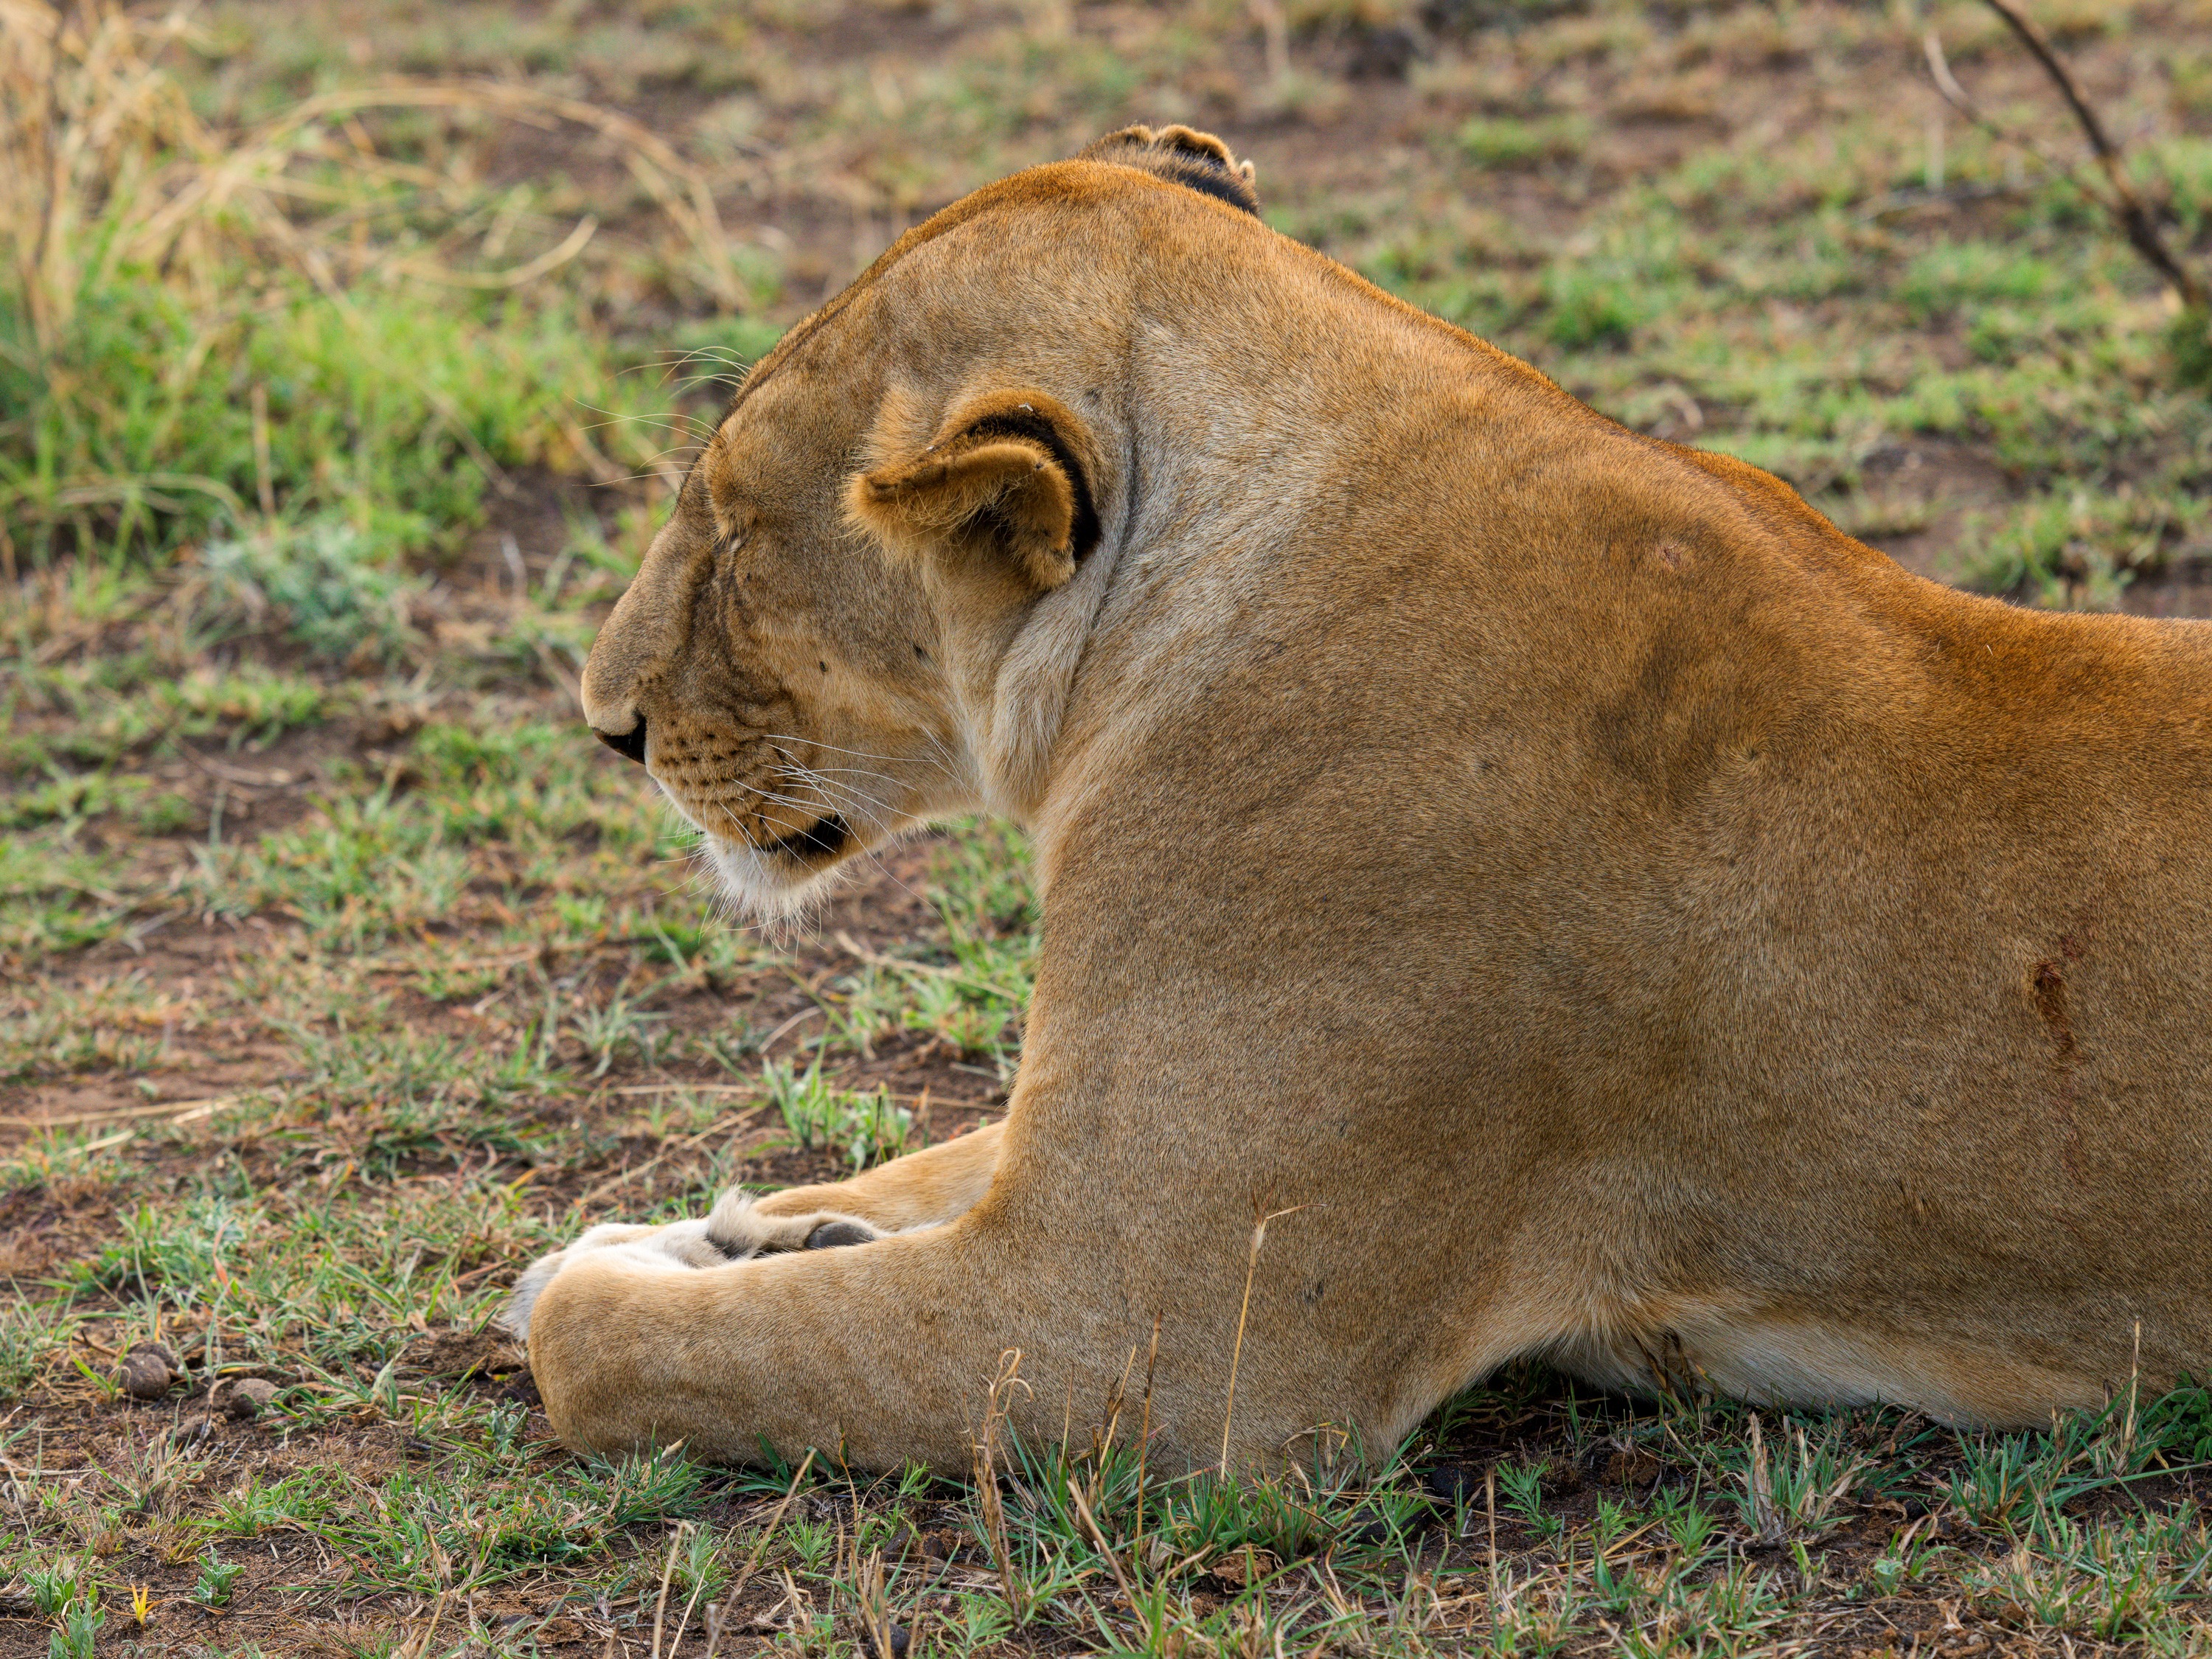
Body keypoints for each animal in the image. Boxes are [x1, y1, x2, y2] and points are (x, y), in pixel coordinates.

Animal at [506, 125, 2212, 1472]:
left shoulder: (1151, 1338)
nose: (606, 724)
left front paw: (603, 1283)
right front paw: (719, 1232)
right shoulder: (1089, 1162)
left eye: (737, 542)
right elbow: (936, 1163)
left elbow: (618, 1349)